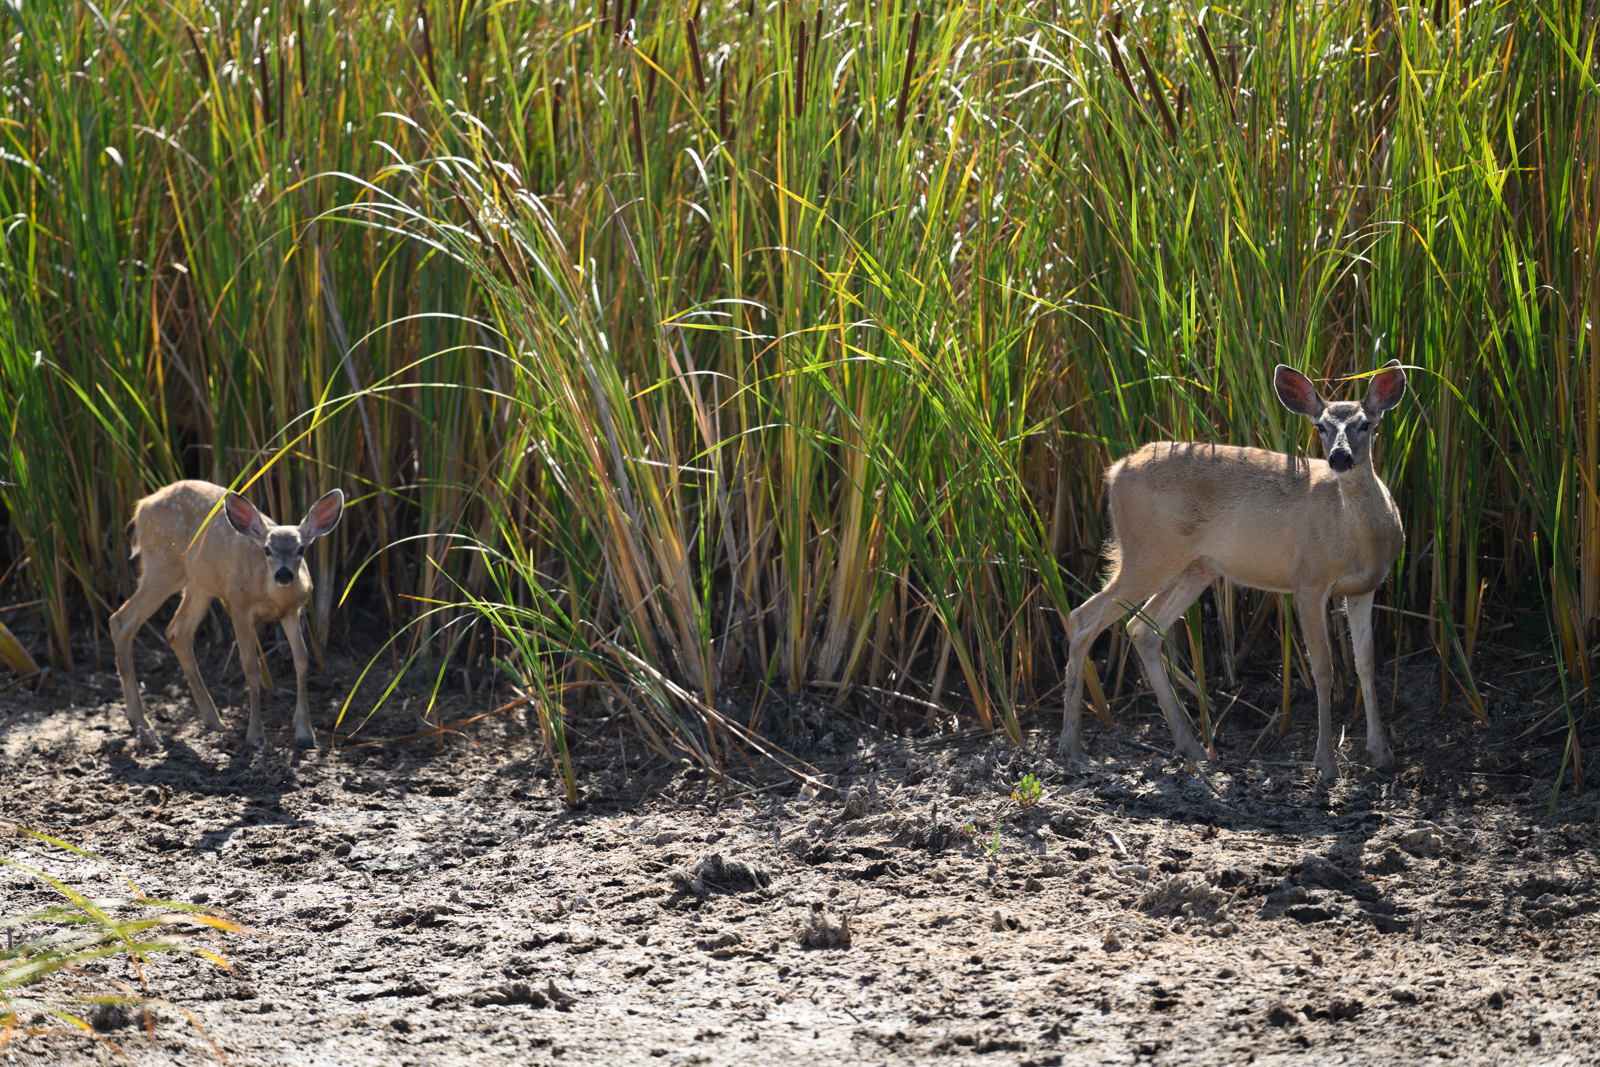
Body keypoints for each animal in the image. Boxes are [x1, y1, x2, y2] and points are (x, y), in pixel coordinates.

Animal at [109, 481, 345, 750]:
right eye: (267, 550)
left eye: (301, 549)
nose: (283, 574)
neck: (272, 596)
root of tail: (141, 507)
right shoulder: (238, 603)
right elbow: (251, 665)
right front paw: (255, 734)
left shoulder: (292, 611)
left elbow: (302, 659)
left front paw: (305, 732)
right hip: (163, 566)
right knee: (121, 620)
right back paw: (140, 720)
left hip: (198, 582)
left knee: (178, 632)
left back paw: (213, 719)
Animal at [1060, 361, 1408, 783]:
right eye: (1321, 426)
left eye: (1366, 424)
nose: (1339, 458)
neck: (1356, 540)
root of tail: (1113, 472)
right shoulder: (1307, 581)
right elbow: (1324, 669)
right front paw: (1325, 762)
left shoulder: (1364, 588)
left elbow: (1367, 664)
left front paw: (1382, 753)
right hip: (1147, 553)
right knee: (1083, 618)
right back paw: (1072, 747)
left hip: (1196, 566)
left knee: (1141, 628)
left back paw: (1192, 748)